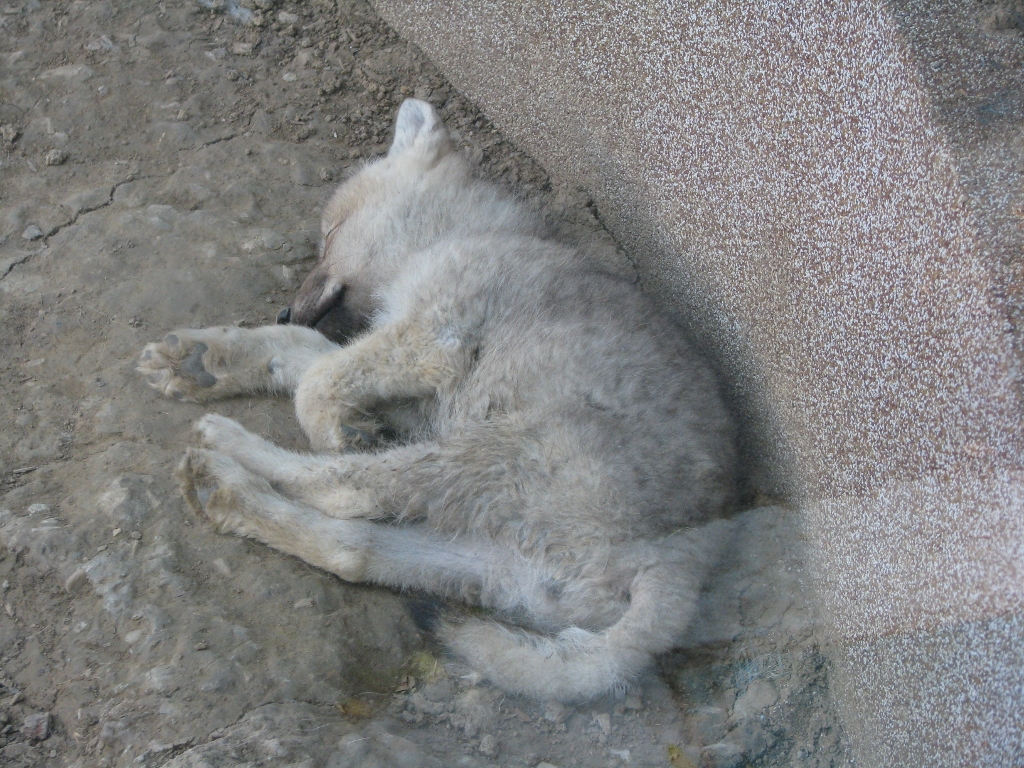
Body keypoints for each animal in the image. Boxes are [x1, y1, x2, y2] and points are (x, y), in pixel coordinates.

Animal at [137, 99, 736, 701]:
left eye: (330, 233)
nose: (285, 309)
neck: (467, 235)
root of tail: (681, 569)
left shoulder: (431, 338)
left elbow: (316, 382)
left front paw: (336, 427)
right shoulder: (411, 373)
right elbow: (299, 355)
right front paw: (201, 361)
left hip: (497, 450)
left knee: (347, 489)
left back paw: (229, 452)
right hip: (497, 565)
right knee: (352, 546)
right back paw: (228, 495)